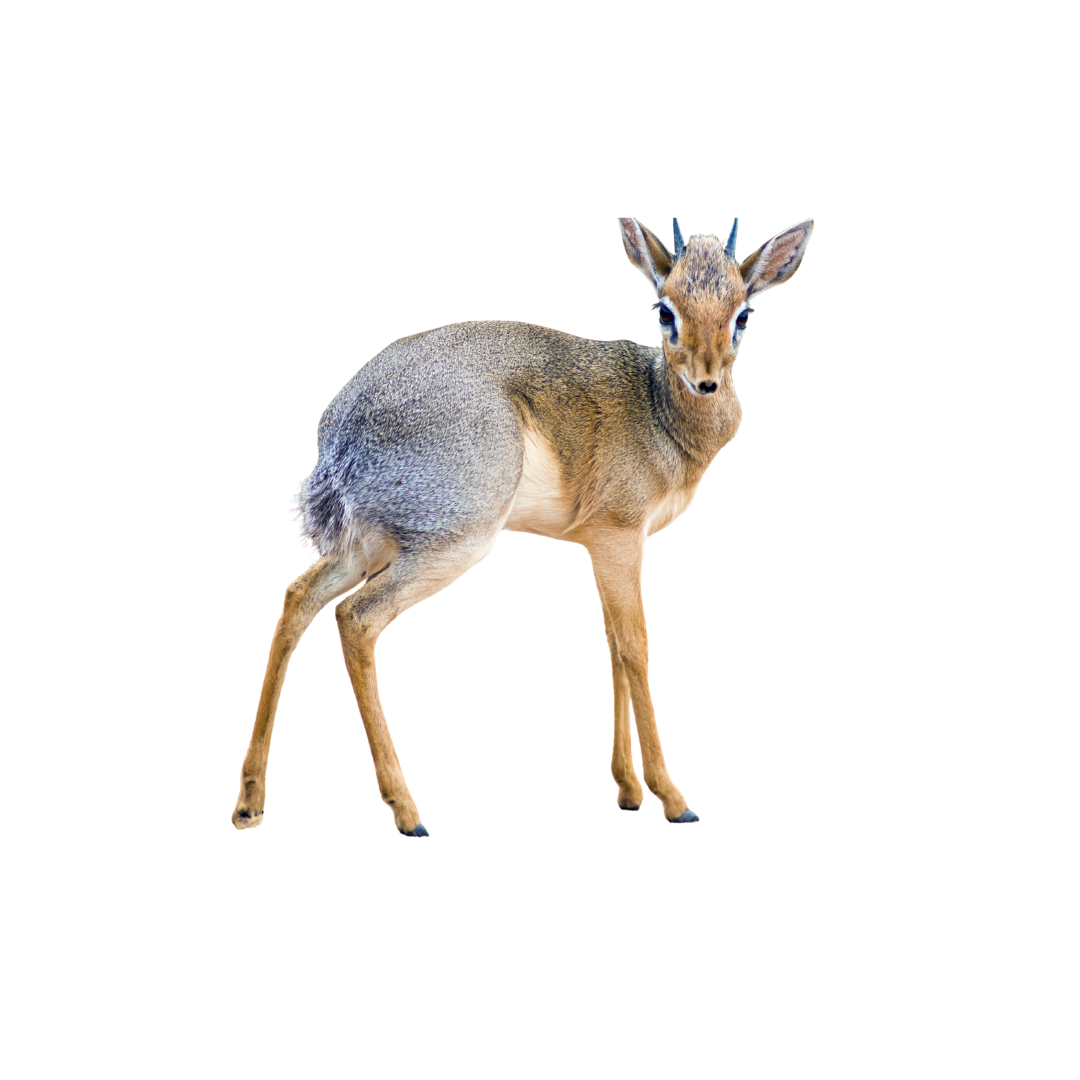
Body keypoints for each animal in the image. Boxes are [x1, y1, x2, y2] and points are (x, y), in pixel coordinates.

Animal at [233, 215, 813, 835]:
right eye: (663, 309)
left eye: (743, 313)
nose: (706, 382)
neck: (659, 411)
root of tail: (339, 432)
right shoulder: (618, 537)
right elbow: (636, 647)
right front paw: (672, 798)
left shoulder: (601, 547)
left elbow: (612, 646)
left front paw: (628, 790)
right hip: (453, 545)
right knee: (356, 618)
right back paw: (407, 811)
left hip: (370, 545)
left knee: (299, 597)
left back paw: (250, 801)